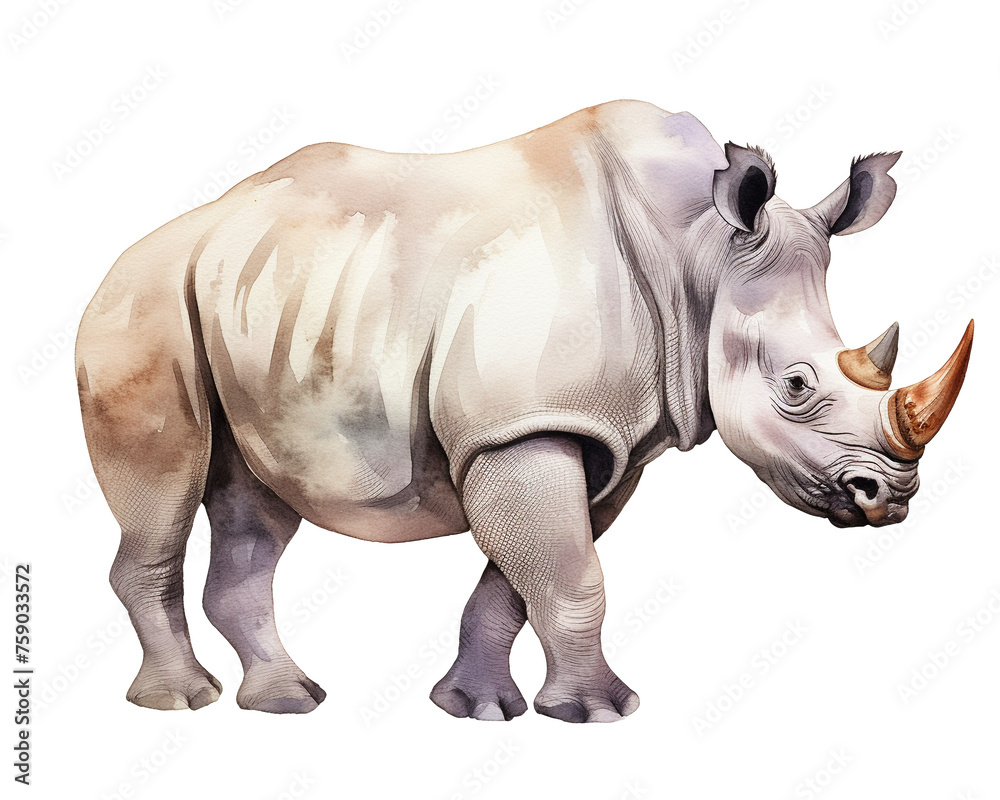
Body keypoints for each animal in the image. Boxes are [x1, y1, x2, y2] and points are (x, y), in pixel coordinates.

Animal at [76, 100, 973, 723]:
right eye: (795, 386)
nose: (890, 497)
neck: (699, 256)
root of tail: (129, 257)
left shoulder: (604, 441)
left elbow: (522, 581)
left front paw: (473, 709)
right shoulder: (525, 427)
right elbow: (572, 577)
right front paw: (602, 714)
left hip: (260, 305)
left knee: (255, 503)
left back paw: (288, 700)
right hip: (143, 309)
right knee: (164, 486)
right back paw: (182, 702)